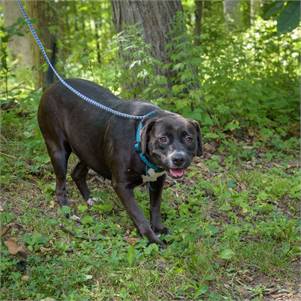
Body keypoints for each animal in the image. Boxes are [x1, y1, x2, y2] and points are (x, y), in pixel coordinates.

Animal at [38, 78, 202, 245]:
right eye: (163, 138)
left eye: (189, 138)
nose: (178, 158)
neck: (138, 143)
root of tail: (53, 86)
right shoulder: (122, 186)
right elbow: (138, 216)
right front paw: (152, 239)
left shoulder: (157, 180)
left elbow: (155, 206)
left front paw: (158, 228)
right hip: (58, 150)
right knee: (60, 186)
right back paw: (68, 213)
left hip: (90, 150)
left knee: (77, 173)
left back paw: (90, 199)